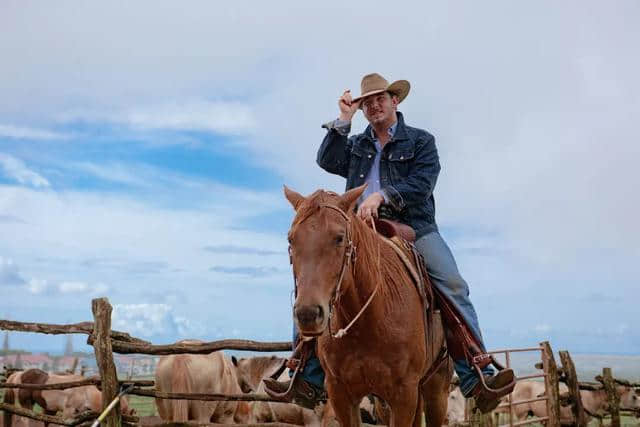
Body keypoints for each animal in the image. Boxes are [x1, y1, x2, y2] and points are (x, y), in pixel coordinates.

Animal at [282, 186, 452, 427]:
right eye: (291, 239)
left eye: (339, 238)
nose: (308, 314)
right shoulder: (340, 394)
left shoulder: (404, 395)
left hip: (436, 390)